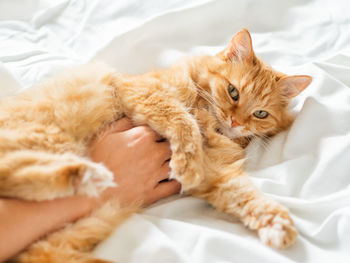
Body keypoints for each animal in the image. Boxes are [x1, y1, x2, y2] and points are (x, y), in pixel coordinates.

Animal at [1, 28, 310, 263]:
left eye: (260, 114)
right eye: (233, 92)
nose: (236, 122)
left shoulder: (218, 173)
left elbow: (249, 198)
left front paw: (277, 225)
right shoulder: (144, 92)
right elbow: (183, 121)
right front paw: (187, 163)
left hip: (80, 223)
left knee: (41, 251)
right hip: (48, 138)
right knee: (11, 173)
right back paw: (85, 175)